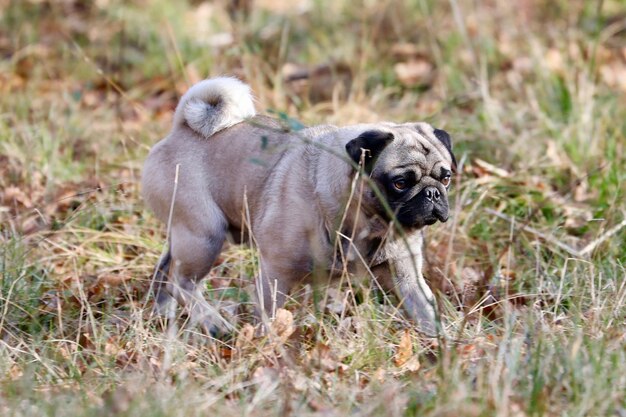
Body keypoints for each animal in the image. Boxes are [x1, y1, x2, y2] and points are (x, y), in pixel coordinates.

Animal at [140, 76, 454, 336]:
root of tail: (180, 129)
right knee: (182, 282)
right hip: (205, 236)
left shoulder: (407, 277)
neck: (369, 225)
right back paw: (212, 322)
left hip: (191, 236)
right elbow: (268, 317)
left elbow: (425, 312)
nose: (432, 194)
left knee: (166, 271)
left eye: (446, 177)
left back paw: (164, 313)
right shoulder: (275, 275)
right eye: (400, 183)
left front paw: (440, 347)